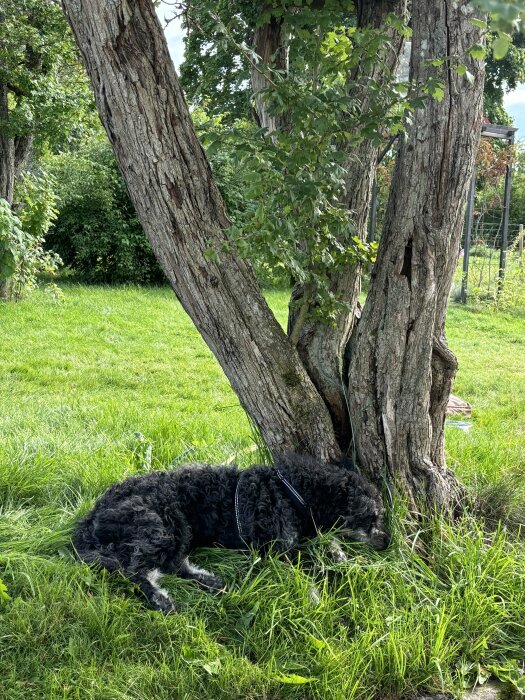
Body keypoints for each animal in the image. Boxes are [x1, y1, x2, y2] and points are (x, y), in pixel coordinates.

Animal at [73, 454, 386, 612]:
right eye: (373, 517)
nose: (387, 542)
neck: (291, 492)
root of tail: (90, 516)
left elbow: (329, 544)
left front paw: (344, 561)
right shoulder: (277, 551)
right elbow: (304, 571)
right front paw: (315, 595)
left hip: (176, 531)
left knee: (171, 565)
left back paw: (209, 581)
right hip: (161, 526)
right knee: (134, 570)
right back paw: (161, 599)